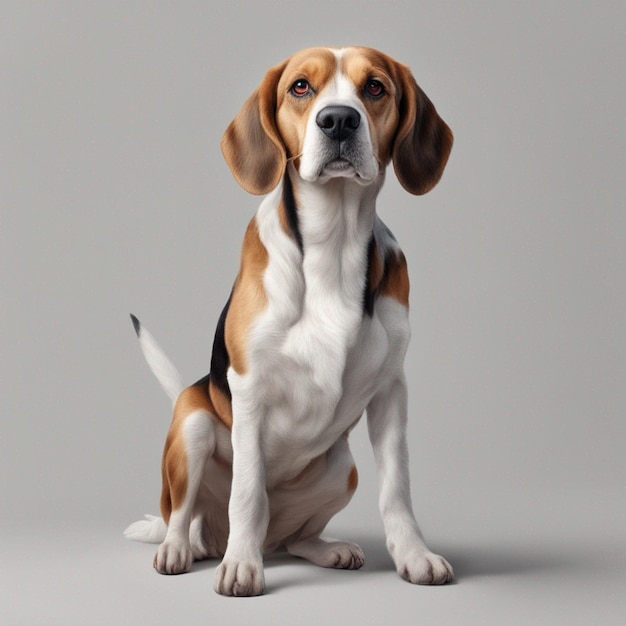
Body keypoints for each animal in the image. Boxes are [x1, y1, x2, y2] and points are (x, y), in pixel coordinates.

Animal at [124, 45, 450, 596]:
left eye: (375, 87)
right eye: (300, 87)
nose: (338, 120)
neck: (332, 244)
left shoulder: (390, 392)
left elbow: (397, 490)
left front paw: (414, 556)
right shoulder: (250, 389)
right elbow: (248, 492)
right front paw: (241, 566)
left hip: (343, 467)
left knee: (294, 539)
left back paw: (321, 548)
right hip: (192, 424)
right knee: (185, 516)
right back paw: (184, 548)